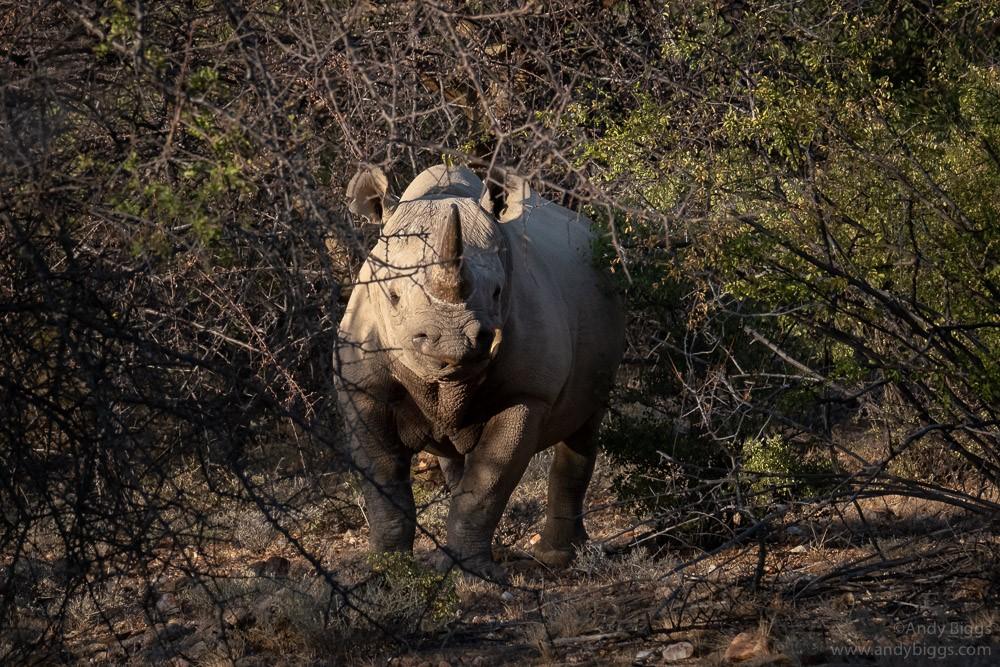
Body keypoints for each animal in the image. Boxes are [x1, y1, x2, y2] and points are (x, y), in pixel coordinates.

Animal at [334, 163, 624, 580]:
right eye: (393, 296)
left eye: (498, 292)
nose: (454, 343)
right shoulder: (361, 387)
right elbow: (384, 482)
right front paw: (387, 570)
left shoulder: (528, 394)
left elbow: (487, 485)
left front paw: (473, 575)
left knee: (584, 428)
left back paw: (559, 557)